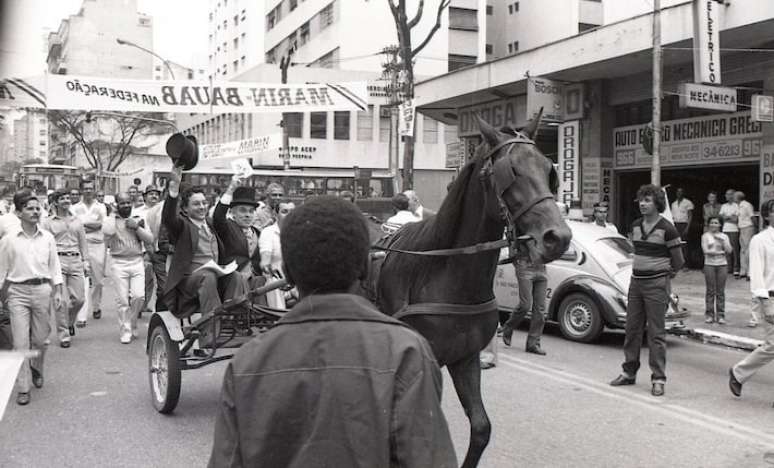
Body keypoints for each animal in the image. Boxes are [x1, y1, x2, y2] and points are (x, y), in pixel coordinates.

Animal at [372, 113, 572, 468]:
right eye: (511, 171)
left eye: (548, 168)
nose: (557, 237)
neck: (443, 270)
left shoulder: (464, 358)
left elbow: (481, 428)